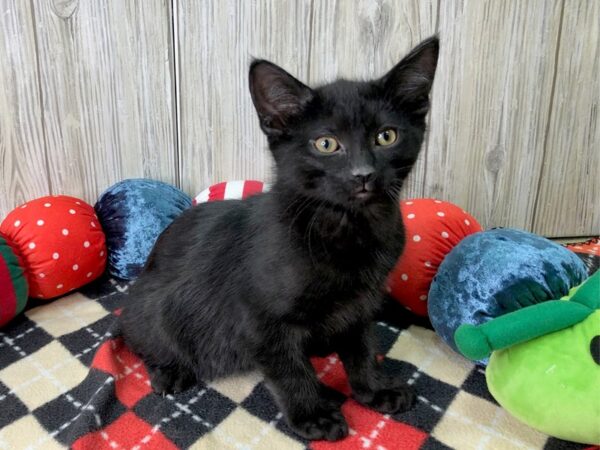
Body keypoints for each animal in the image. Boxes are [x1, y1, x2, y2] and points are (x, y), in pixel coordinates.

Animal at [120, 37, 440, 442]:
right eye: (325, 143)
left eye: (386, 136)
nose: (363, 174)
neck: (346, 227)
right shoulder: (260, 320)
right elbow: (290, 370)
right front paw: (313, 414)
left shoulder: (362, 301)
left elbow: (364, 347)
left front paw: (374, 388)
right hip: (153, 310)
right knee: (140, 339)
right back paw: (170, 370)